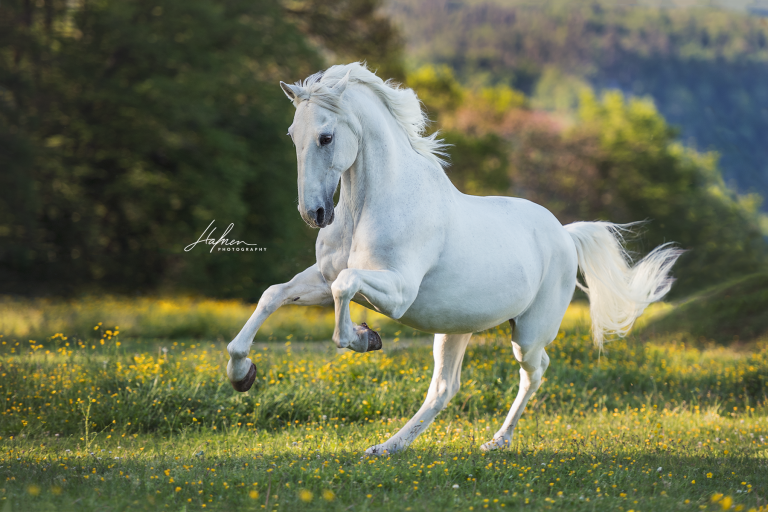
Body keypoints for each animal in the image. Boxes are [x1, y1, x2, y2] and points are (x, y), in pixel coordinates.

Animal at [226, 62, 682, 454]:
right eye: (292, 134)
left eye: (325, 137)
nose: (315, 214)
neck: (369, 206)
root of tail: (566, 235)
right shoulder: (320, 281)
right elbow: (273, 294)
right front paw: (241, 373)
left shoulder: (397, 292)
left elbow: (346, 289)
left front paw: (364, 338)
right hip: (455, 327)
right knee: (444, 388)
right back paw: (387, 447)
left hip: (528, 333)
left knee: (533, 371)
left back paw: (496, 442)